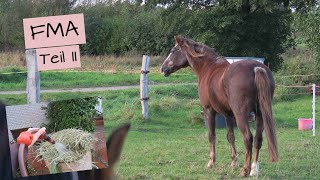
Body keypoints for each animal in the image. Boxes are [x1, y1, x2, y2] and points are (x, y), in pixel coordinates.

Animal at [160, 35, 278, 176]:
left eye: (173, 50)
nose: (163, 68)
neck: (207, 67)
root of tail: (256, 68)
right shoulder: (228, 115)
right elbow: (230, 136)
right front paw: (234, 162)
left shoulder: (209, 111)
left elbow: (211, 136)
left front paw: (211, 162)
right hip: (260, 114)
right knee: (258, 139)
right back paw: (254, 170)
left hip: (241, 116)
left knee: (248, 138)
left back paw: (245, 170)